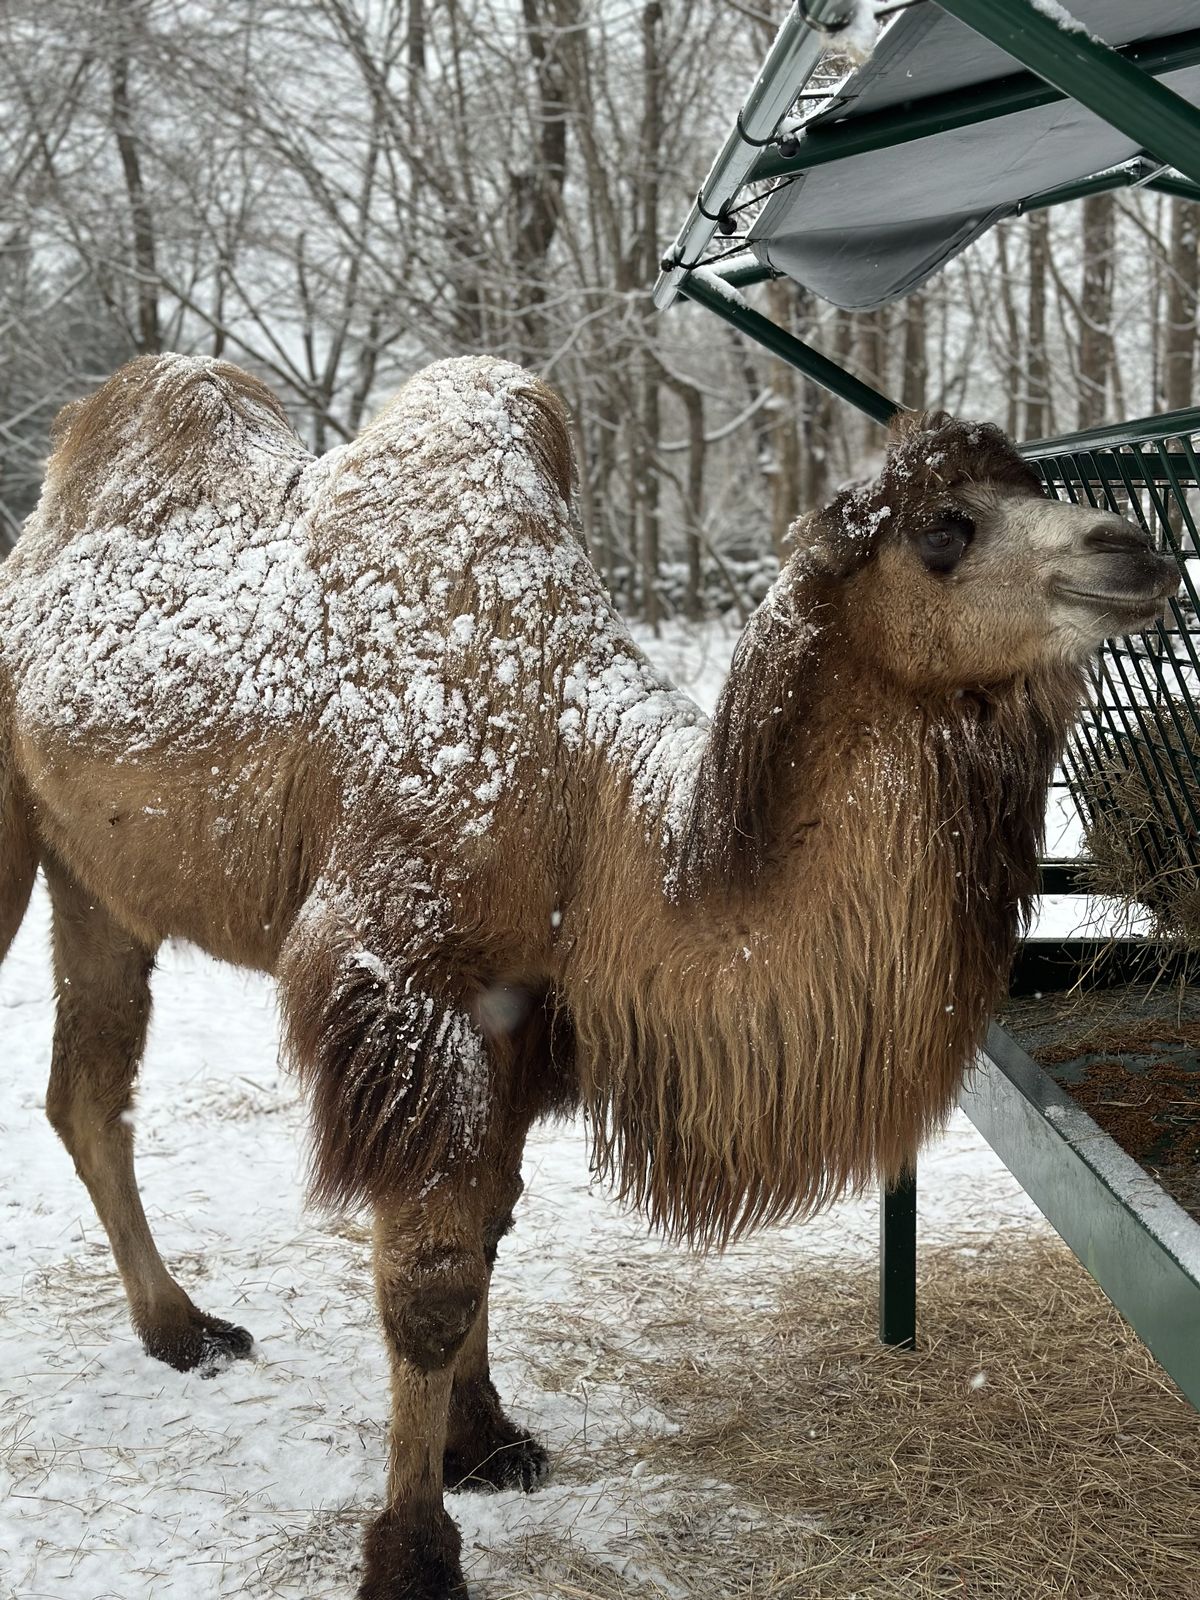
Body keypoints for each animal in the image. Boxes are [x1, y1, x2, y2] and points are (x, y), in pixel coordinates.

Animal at [0, 352, 1177, 1599]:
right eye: (945, 528)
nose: (1134, 550)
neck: (589, 803)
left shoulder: (522, 1006)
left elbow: (487, 1226)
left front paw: (482, 1440)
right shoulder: (404, 980)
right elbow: (428, 1280)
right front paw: (413, 1552)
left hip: (98, 883)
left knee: (87, 1090)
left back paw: (180, 1331)